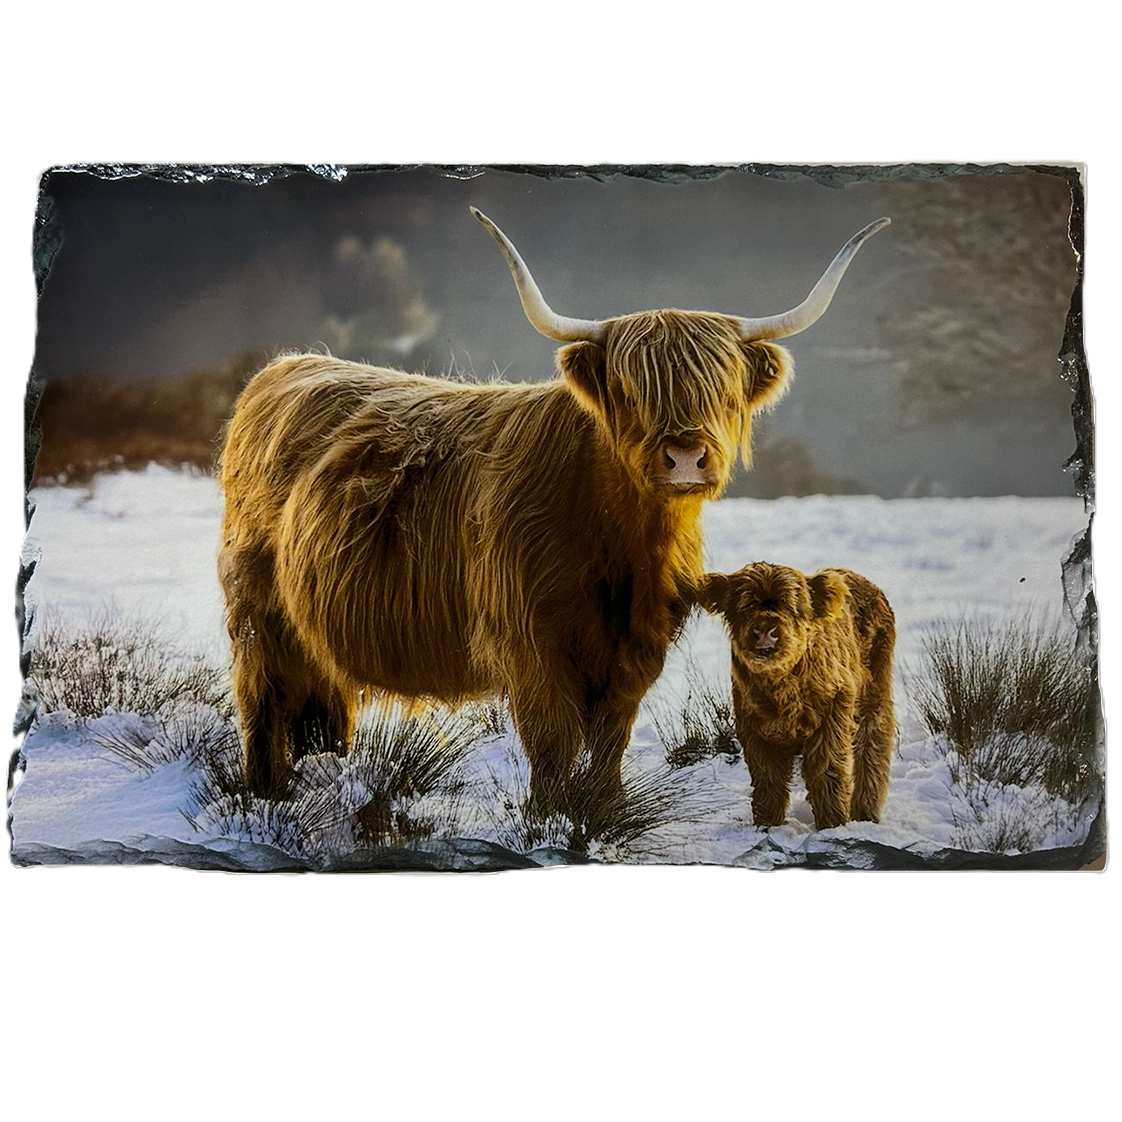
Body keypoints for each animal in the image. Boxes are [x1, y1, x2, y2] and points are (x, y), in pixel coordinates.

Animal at [218, 207, 889, 805]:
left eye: (722, 388)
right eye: (629, 390)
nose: (685, 457)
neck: (620, 541)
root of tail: (285, 367)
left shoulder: (638, 648)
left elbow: (610, 743)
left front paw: (604, 811)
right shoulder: (531, 644)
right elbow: (552, 746)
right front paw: (550, 821)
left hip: (314, 631)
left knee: (322, 710)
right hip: (256, 614)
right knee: (263, 704)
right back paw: (266, 795)